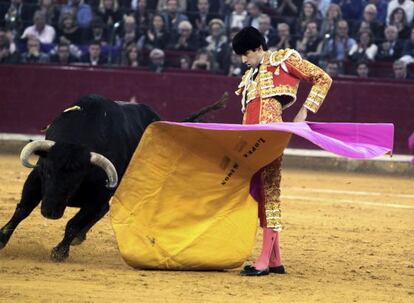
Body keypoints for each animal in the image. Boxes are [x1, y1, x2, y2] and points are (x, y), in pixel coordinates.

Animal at [0, 94, 228, 262]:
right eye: (47, 171)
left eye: (77, 179)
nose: (50, 212)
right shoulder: (35, 180)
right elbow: (22, 209)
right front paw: (2, 239)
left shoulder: (98, 195)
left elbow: (74, 222)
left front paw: (60, 252)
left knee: (100, 211)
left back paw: (77, 237)